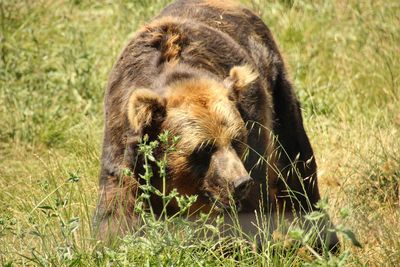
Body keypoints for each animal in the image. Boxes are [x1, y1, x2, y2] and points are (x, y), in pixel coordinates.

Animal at [94, 0, 338, 251]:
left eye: (237, 140)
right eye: (203, 148)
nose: (240, 183)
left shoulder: (254, 132)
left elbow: (253, 208)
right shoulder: (122, 137)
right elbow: (117, 209)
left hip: (278, 92)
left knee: (297, 164)